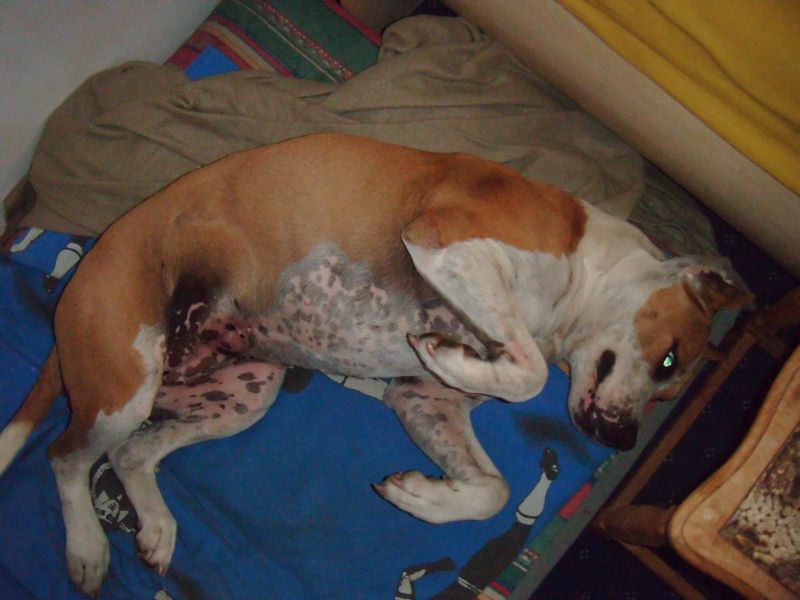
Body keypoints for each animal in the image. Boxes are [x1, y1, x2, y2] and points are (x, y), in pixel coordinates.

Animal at [0, 133, 752, 595]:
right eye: (669, 358)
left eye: (667, 390)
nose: (623, 440)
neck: (586, 273)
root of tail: (94, 253)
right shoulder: (449, 245)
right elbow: (529, 372)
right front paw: (463, 355)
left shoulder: (423, 401)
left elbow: (490, 489)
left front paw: (421, 495)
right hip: (127, 379)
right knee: (66, 458)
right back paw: (88, 549)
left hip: (243, 391)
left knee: (133, 455)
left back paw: (155, 528)